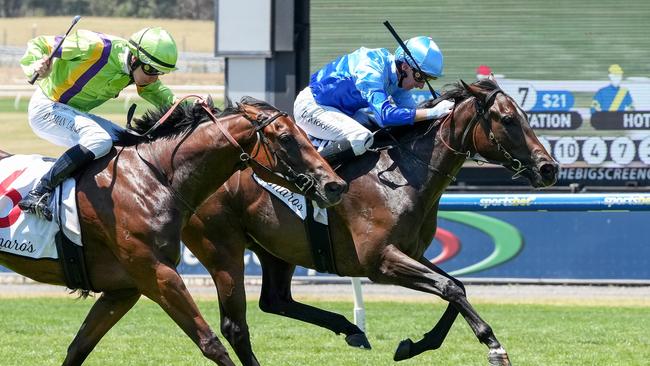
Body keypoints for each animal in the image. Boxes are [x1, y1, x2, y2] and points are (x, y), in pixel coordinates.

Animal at [0, 96, 344, 366]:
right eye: (286, 137)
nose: (334, 185)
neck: (153, 179)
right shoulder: (158, 274)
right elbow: (211, 343)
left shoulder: (123, 289)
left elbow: (78, 347)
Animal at [181, 78, 556, 364]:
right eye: (507, 119)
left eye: (525, 115)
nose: (549, 168)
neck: (404, 177)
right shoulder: (380, 260)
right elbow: (449, 289)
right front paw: (494, 346)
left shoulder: (411, 252)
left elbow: (456, 287)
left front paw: (414, 345)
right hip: (223, 250)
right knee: (236, 324)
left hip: (275, 248)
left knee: (275, 300)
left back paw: (352, 330)